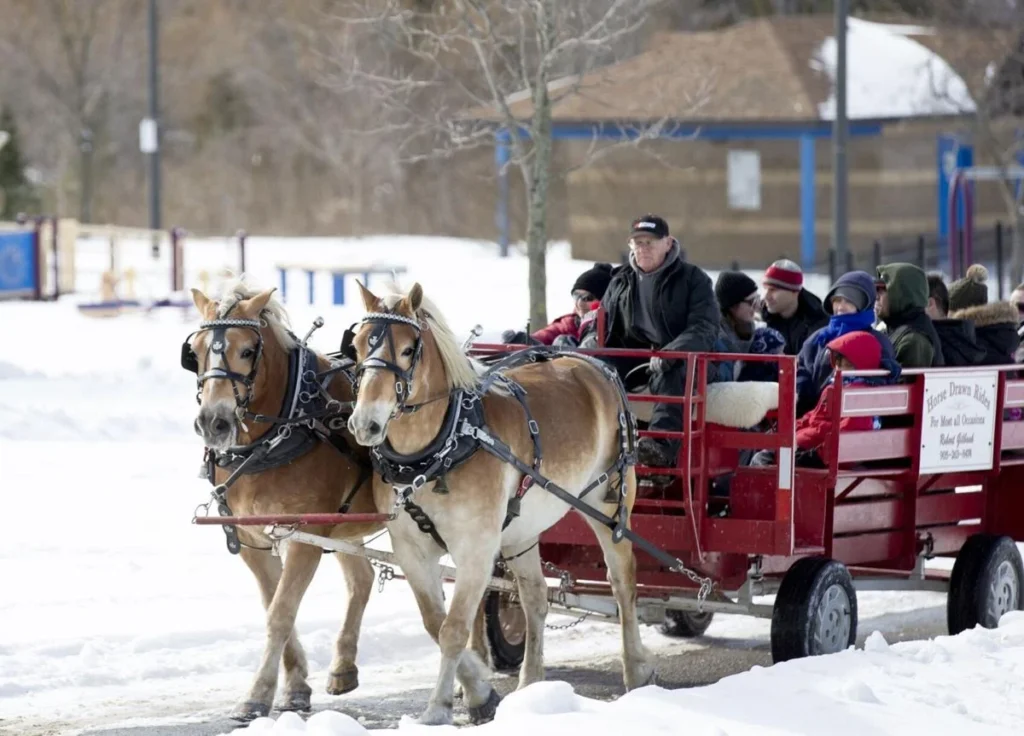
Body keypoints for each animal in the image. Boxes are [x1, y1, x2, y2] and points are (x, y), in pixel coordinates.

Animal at [184, 278, 647, 728]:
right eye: (196, 351)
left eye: (248, 350)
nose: (214, 422)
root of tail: (591, 364)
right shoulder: (259, 540)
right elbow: (425, 618)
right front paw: (289, 687)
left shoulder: (310, 535)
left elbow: (285, 613)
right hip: (518, 527)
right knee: (529, 595)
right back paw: (525, 686)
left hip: (607, 505)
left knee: (622, 580)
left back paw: (636, 671)